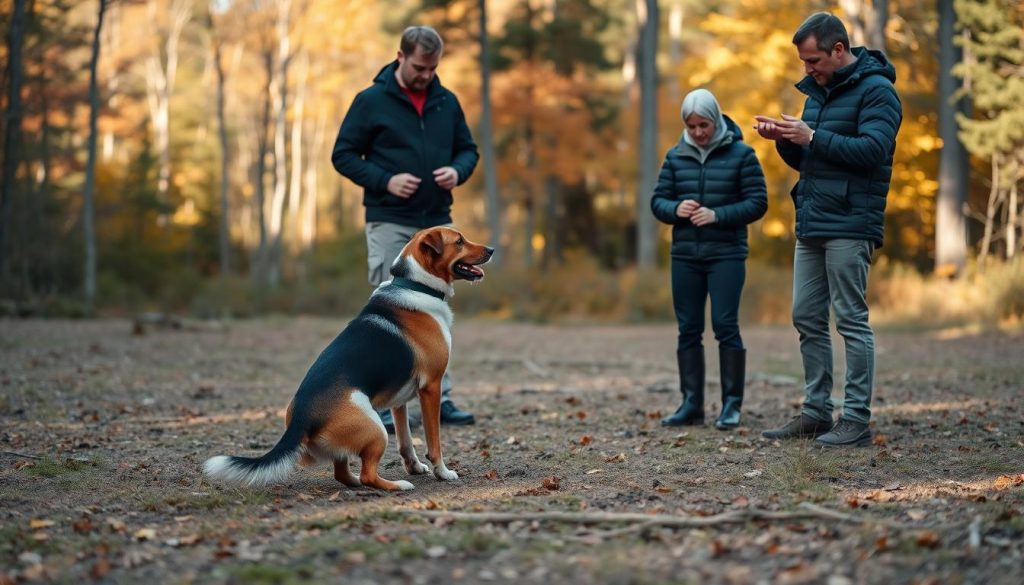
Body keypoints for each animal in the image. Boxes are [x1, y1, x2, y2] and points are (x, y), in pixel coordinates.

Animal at [202, 226, 491, 491]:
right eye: (459, 241)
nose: (491, 250)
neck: (416, 285)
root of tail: (301, 417)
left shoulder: (400, 401)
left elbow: (406, 441)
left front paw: (415, 466)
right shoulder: (431, 387)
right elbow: (434, 441)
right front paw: (442, 472)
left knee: (343, 474)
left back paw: (357, 483)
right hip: (376, 429)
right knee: (368, 475)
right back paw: (397, 485)